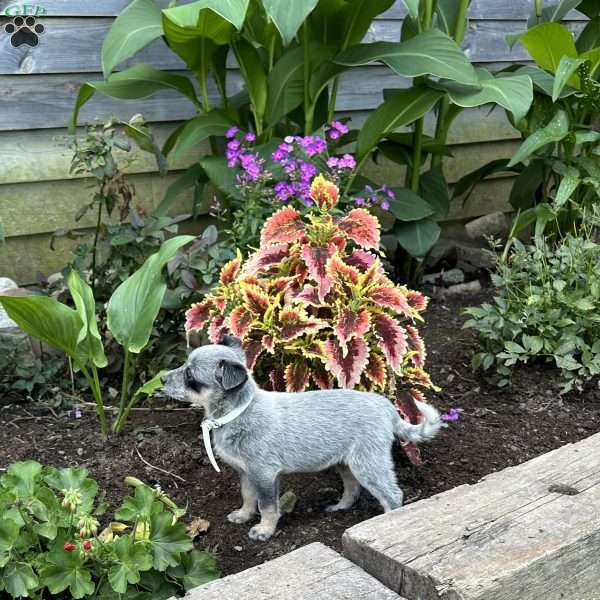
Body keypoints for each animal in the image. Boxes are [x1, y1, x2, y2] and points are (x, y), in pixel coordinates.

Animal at [163, 336, 440, 540]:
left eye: (190, 376)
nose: (162, 378)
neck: (238, 411)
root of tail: (386, 407)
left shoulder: (264, 474)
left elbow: (267, 506)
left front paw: (264, 530)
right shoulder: (246, 473)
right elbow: (248, 496)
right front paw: (243, 515)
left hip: (368, 463)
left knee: (392, 495)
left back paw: (385, 521)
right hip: (345, 462)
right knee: (352, 488)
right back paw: (340, 507)